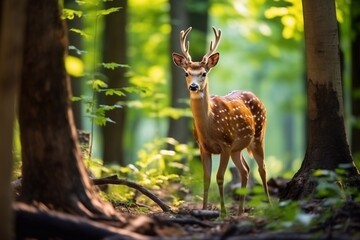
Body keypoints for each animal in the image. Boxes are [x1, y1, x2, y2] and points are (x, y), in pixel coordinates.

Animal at [172, 27, 270, 217]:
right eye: (187, 73)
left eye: (204, 73)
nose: (193, 87)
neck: (209, 127)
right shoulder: (203, 147)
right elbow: (206, 178)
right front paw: (203, 209)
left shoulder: (226, 144)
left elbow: (219, 177)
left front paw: (223, 212)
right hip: (237, 149)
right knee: (245, 170)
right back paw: (239, 211)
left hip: (258, 136)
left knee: (262, 168)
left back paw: (270, 205)